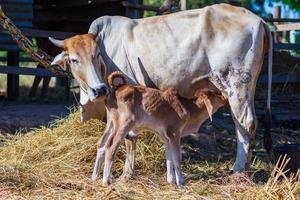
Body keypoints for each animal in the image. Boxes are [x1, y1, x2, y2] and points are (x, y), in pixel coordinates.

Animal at [91, 71, 225, 185]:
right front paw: (181, 182)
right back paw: (106, 180)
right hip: (124, 124)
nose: (224, 96)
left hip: (111, 123)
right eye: (215, 94)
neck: (188, 108)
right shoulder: (174, 134)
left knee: (101, 143)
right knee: (111, 146)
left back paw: (95, 176)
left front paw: (170, 180)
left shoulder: (166, 137)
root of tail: (117, 88)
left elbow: (169, 157)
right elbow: (177, 157)